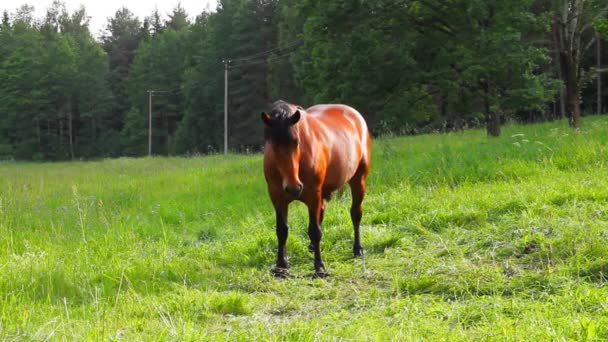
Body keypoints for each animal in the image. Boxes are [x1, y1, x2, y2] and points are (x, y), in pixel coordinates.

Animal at [260, 100, 370, 276]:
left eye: (297, 142)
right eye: (273, 146)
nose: (293, 188)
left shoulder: (313, 194)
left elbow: (314, 231)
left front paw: (319, 267)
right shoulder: (277, 196)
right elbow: (282, 230)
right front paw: (281, 266)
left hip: (358, 180)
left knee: (356, 213)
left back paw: (357, 249)